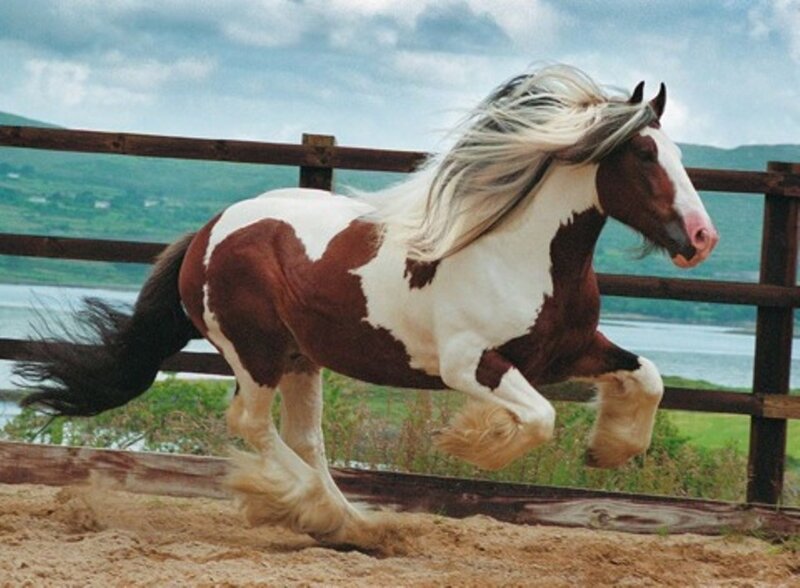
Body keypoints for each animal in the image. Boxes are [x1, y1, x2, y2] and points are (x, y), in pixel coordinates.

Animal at [15, 65, 718, 547]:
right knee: (251, 423)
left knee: (305, 437)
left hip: (301, 358)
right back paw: (314, 509)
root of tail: (210, 231)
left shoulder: (571, 351)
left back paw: (354, 525)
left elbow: (649, 379)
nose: (702, 237)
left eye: (681, 155)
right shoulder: (469, 363)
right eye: (645, 154)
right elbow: (540, 418)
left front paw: (608, 452)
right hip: (254, 351)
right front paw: (470, 443)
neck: (520, 253)